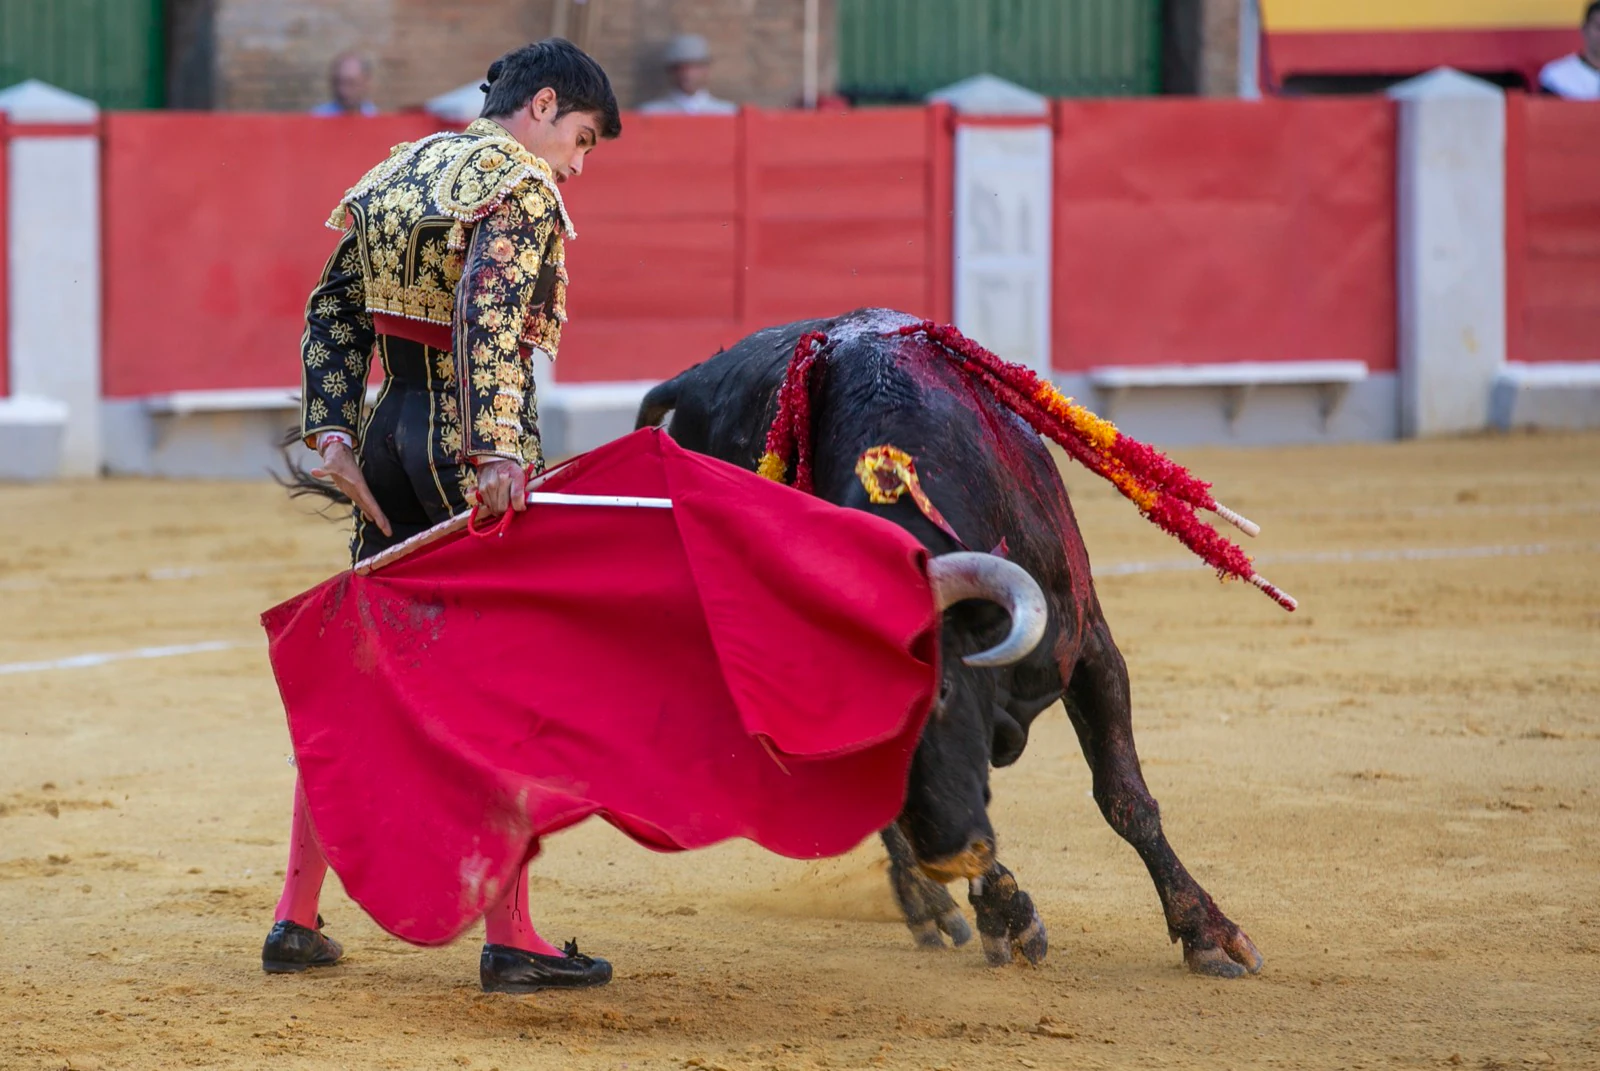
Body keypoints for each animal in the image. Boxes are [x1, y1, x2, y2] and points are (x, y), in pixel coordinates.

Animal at [630, 307, 1267, 979]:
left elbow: (1123, 795)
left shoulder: (1091, 645)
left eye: (940, 699)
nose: (947, 856)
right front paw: (1005, 911)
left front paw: (1207, 933)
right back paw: (928, 903)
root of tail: (693, 378)